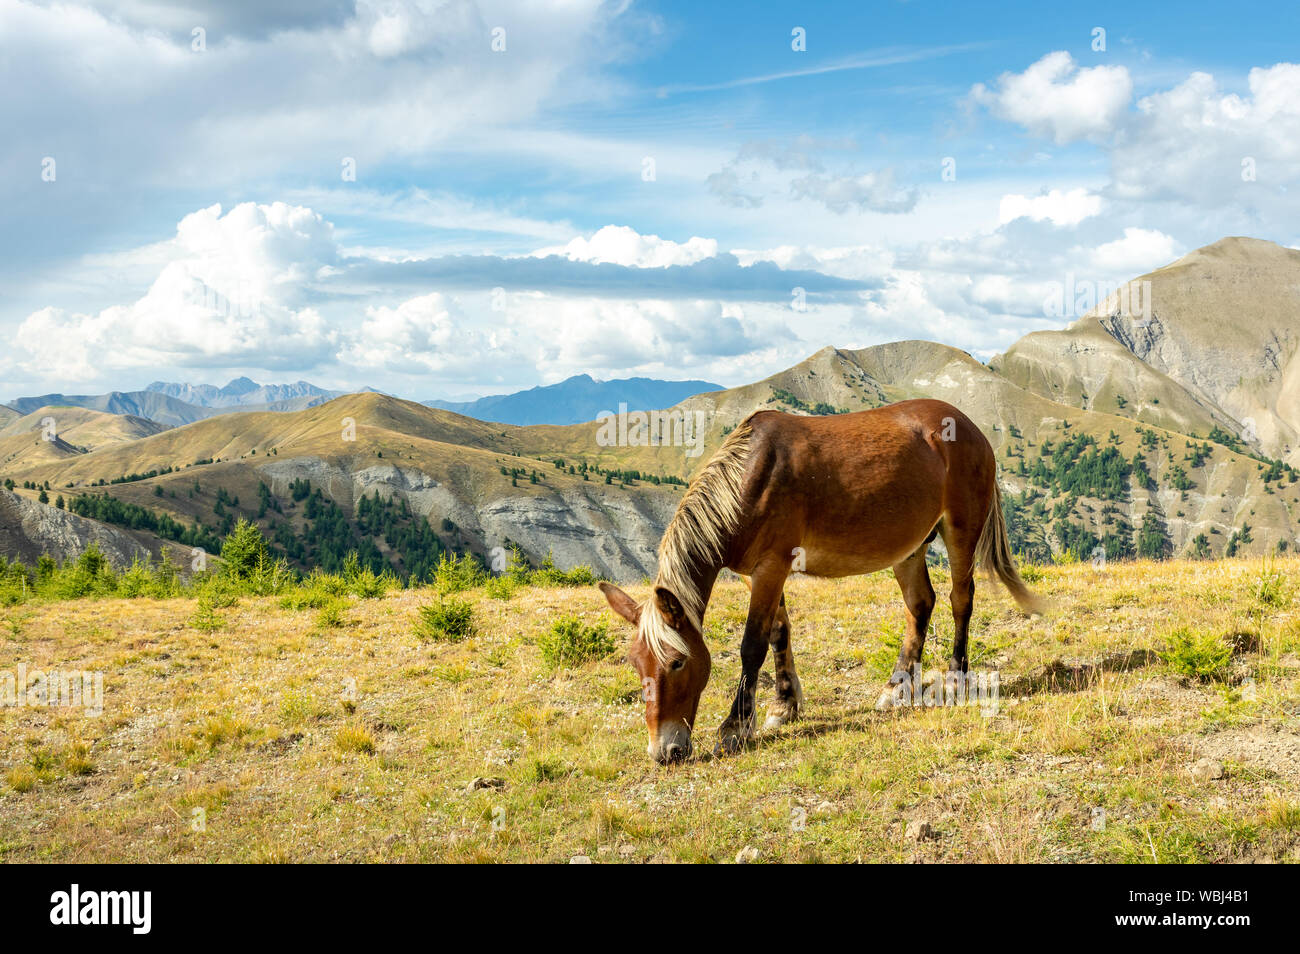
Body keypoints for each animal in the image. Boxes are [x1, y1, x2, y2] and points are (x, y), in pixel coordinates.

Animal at [598, 398, 1043, 764]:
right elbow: (778, 633)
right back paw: (896, 688)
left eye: (676, 662)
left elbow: (752, 646)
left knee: (960, 599)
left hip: (961, 530)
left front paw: (735, 727)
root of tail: (970, 427)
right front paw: (783, 705)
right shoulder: (753, 574)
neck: (749, 479)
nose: (664, 752)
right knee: (920, 604)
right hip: (911, 546)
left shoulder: (772, 566)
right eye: (636, 664)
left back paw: (954, 679)